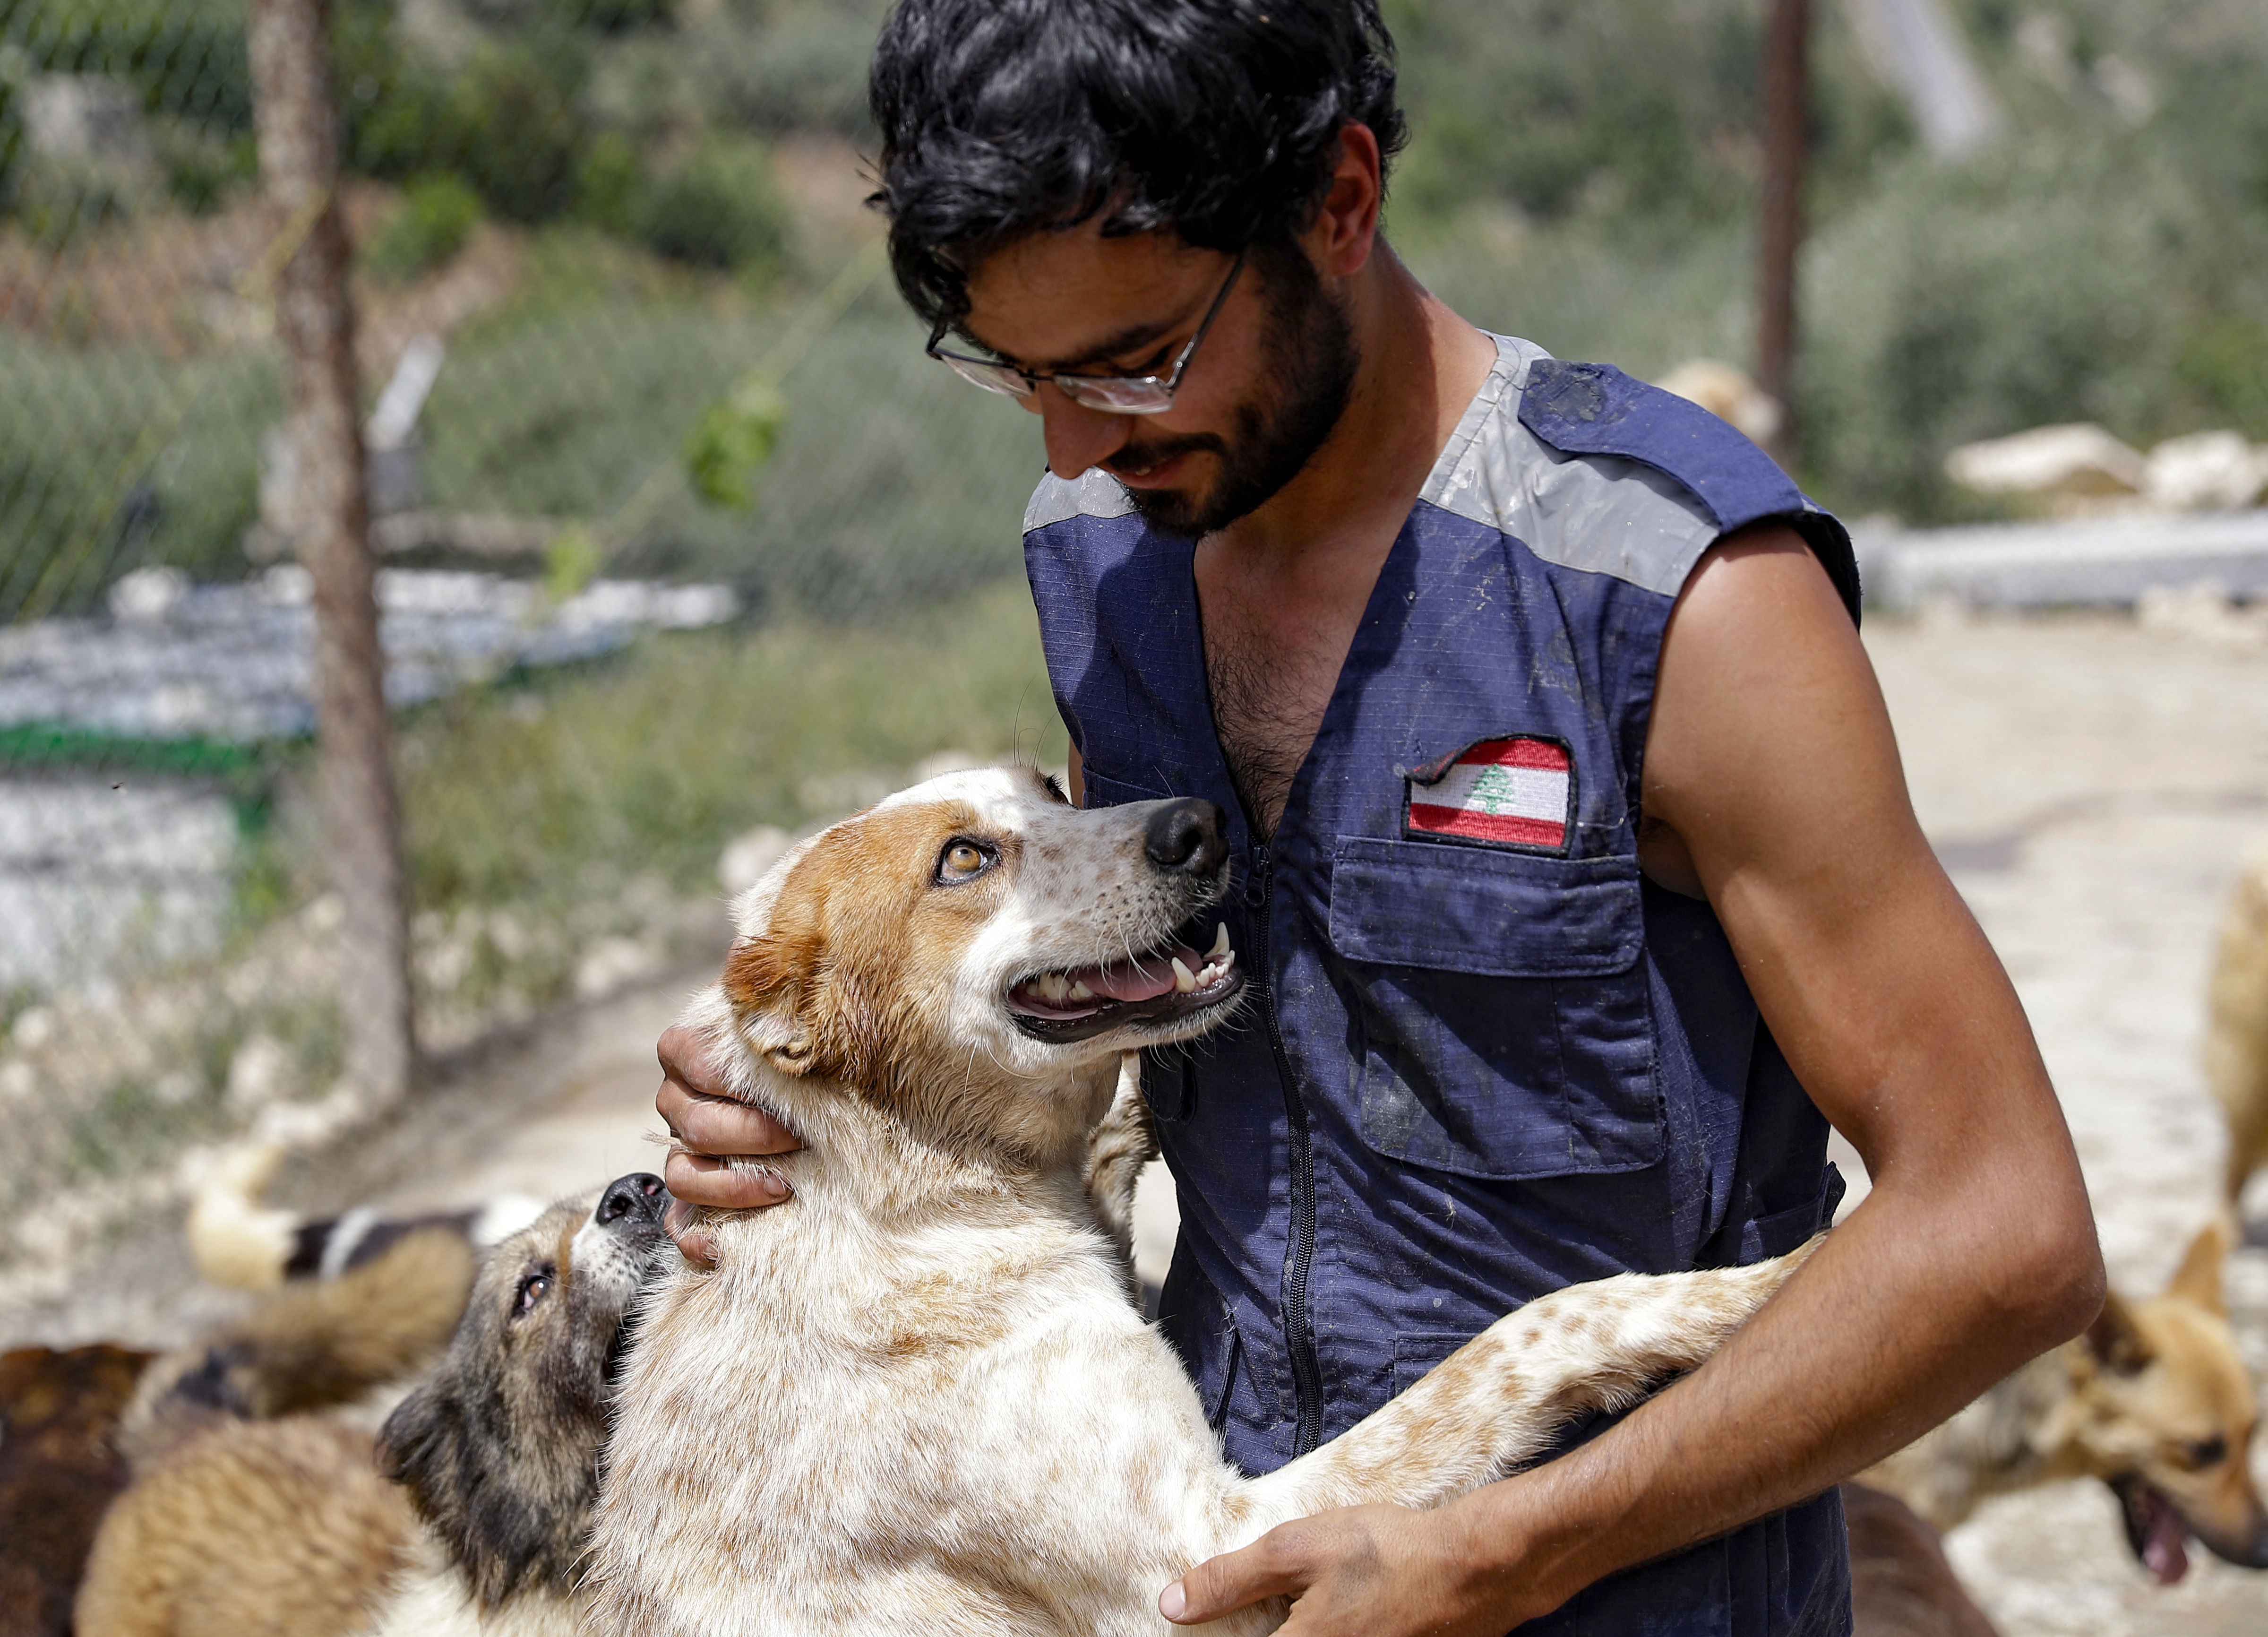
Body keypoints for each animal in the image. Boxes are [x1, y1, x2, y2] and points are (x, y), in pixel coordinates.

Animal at [590, 766, 1823, 1632]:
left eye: (1050, 787)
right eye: (964, 857)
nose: (1195, 823)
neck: (910, 1194)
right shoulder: (1207, 1550)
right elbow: (1527, 1333)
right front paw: (1755, 1283)